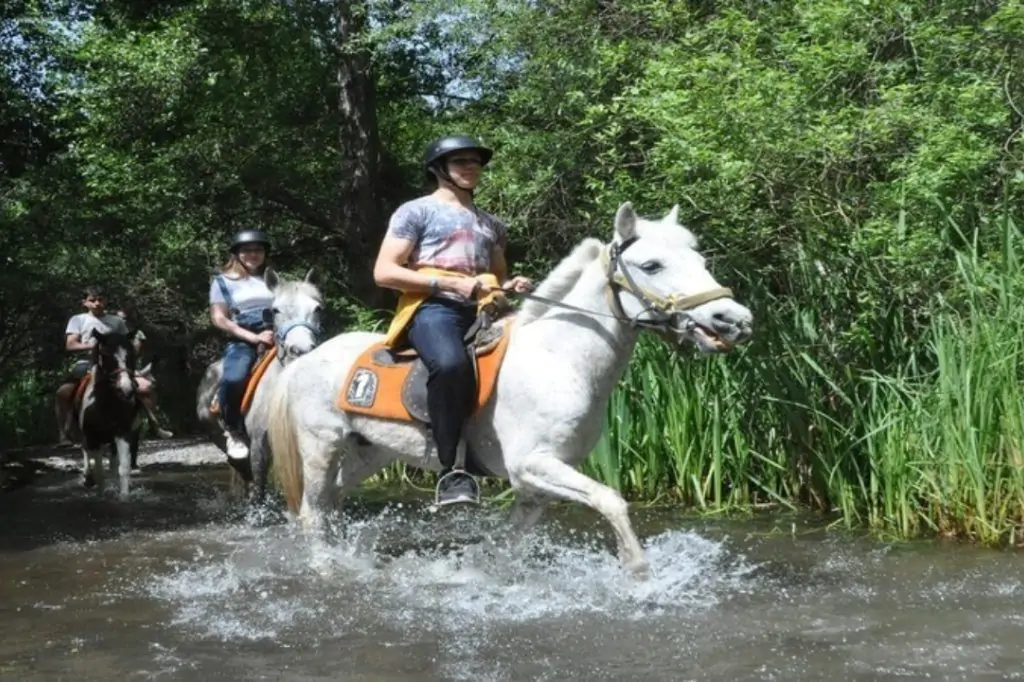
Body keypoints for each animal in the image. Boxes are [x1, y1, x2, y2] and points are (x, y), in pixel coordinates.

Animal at [197, 268, 325, 501]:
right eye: (275, 310)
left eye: (318, 308)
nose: (300, 350)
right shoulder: (259, 444)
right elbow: (258, 486)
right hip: (218, 434)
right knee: (241, 468)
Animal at [268, 201, 757, 573]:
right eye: (652, 265)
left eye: (702, 262)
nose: (734, 321)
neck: (560, 360)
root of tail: (306, 356)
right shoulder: (532, 465)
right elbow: (612, 500)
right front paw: (638, 573)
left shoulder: (538, 483)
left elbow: (509, 542)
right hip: (321, 446)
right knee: (312, 512)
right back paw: (326, 568)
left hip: (369, 452)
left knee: (331, 503)